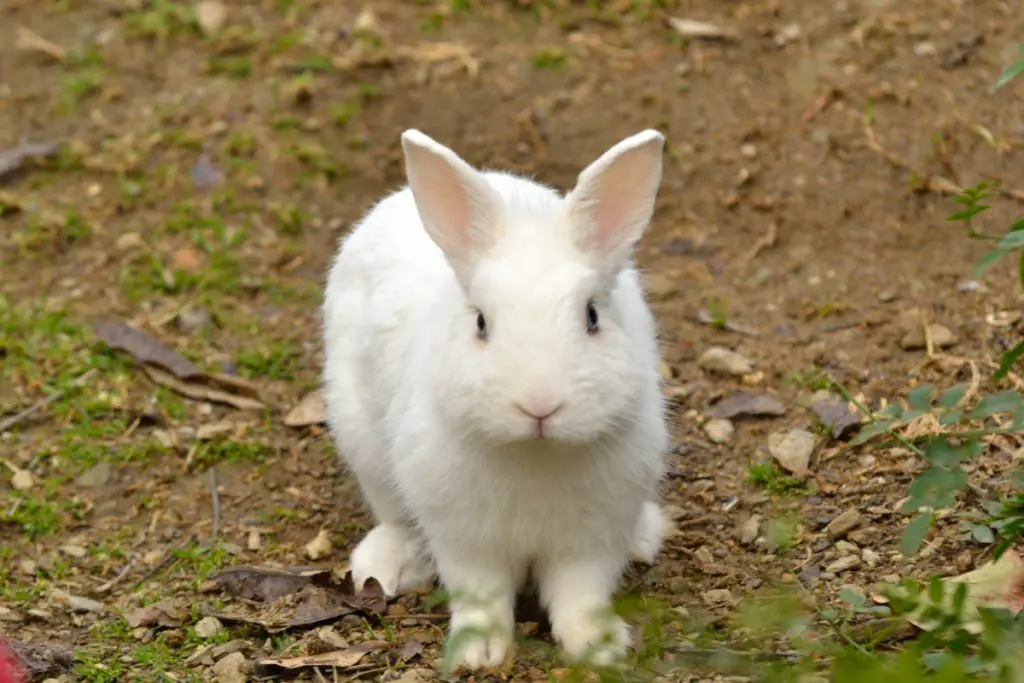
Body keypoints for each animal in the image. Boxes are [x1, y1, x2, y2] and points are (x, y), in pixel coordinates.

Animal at [323, 129, 667, 671]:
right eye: (481, 323)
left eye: (592, 316)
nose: (540, 405)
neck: (535, 453)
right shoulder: (465, 537)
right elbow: (480, 595)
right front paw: (479, 653)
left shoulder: (593, 536)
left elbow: (580, 595)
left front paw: (599, 647)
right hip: (361, 441)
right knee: (392, 514)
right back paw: (386, 565)